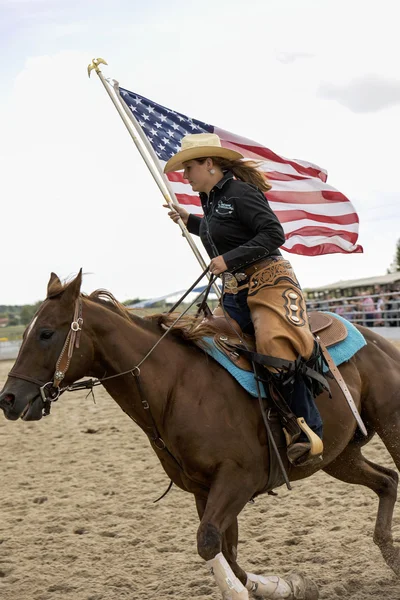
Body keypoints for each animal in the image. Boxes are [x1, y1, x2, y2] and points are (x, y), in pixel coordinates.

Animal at [0, 272, 400, 600]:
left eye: (46, 333)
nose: (9, 398)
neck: (180, 387)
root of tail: (377, 338)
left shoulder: (238, 479)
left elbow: (208, 543)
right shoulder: (203, 490)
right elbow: (227, 553)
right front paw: (291, 585)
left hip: (389, 426)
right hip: (339, 455)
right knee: (387, 481)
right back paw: (391, 556)